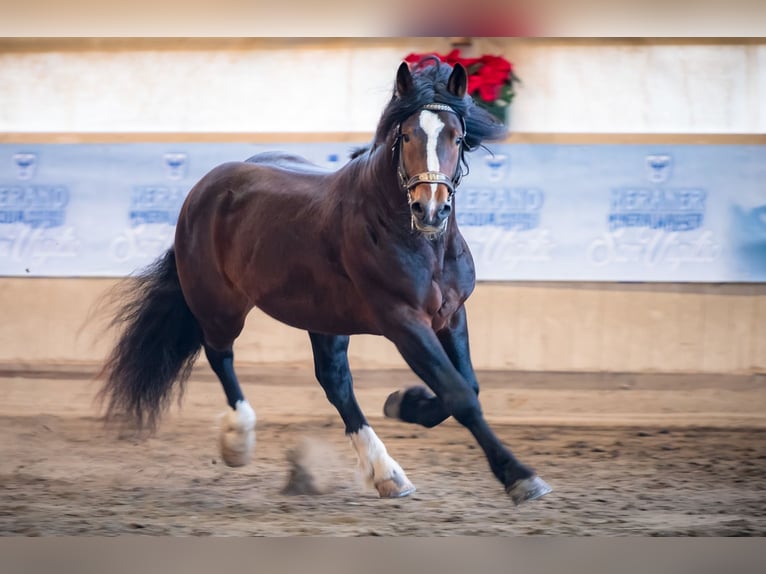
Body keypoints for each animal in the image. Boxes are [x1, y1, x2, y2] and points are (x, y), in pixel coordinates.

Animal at [98, 57, 552, 505]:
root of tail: (202, 191)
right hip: (221, 305)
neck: (417, 241)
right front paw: (520, 476)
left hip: (323, 317)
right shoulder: (403, 320)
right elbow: (459, 395)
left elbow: (467, 386)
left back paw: (388, 475)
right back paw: (238, 442)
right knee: (220, 354)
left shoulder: (451, 314)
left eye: (457, 138)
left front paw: (404, 402)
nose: (430, 209)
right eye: (406, 135)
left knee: (335, 382)